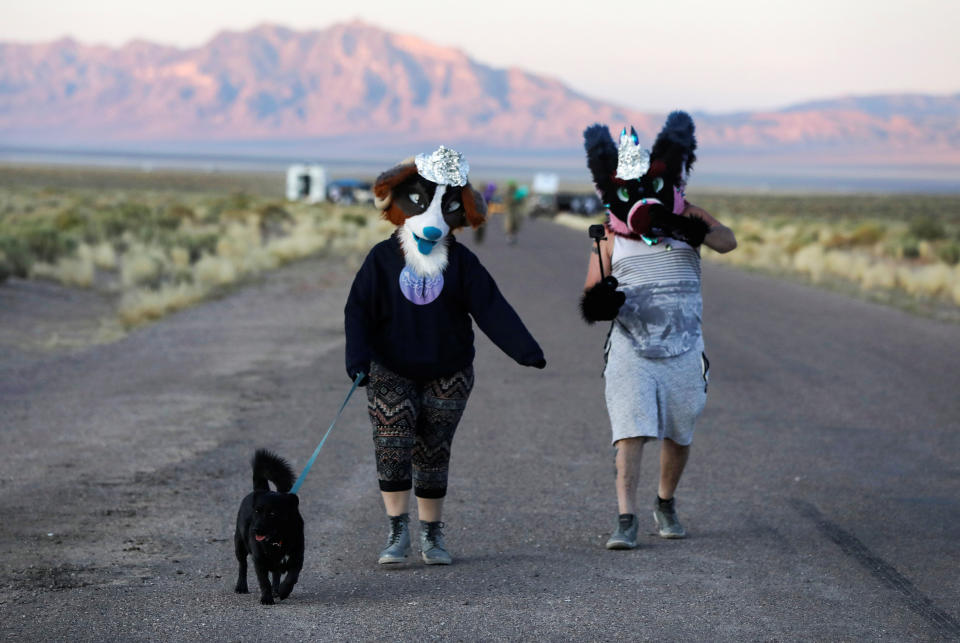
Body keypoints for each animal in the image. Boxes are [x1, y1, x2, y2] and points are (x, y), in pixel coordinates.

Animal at [233, 450, 302, 608]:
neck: (277, 540)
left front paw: (283, 591)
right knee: (242, 565)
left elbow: (291, 578)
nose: (255, 530)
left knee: (276, 575)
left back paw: (277, 590)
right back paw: (241, 587)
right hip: (239, 545)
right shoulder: (259, 561)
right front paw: (266, 598)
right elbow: (264, 582)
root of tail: (261, 489)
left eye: (272, 514)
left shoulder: (297, 559)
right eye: (257, 511)